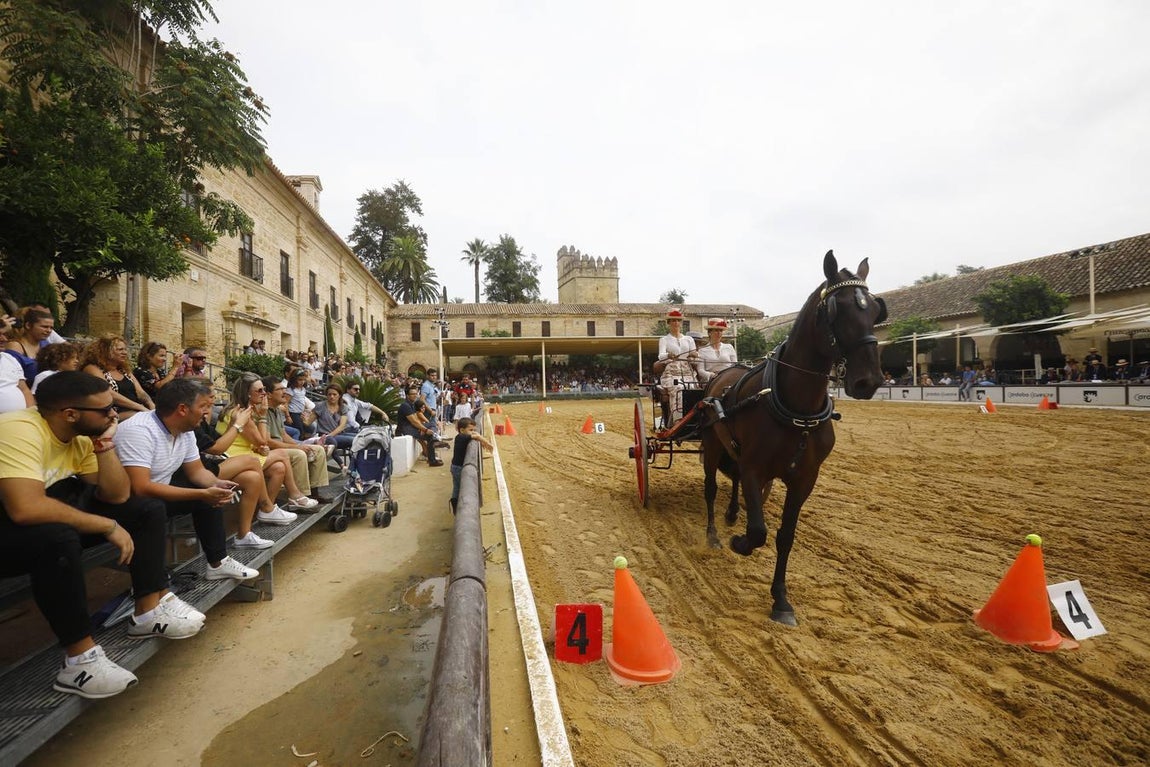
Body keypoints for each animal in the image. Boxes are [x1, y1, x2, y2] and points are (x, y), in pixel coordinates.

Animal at [699, 250, 886, 626]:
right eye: (838, 308)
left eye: (875, 309)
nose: (869, 380)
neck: (798, 409)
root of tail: (720, 375)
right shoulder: (755, 468)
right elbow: (758, 531)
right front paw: (740, 542)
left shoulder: (804, 478)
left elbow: (785, 535)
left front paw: (781, 599)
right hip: (712, 448)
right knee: (710, 488)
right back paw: (714, 533)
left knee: (733, 482)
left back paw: (731, 513)